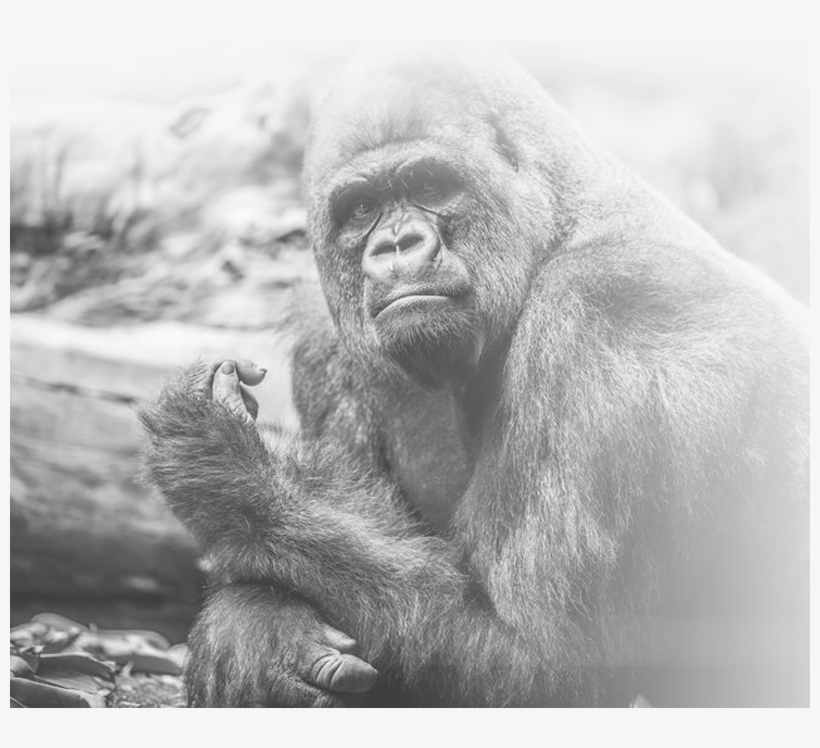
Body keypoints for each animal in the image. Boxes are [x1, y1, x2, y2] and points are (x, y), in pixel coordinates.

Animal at [139, 45, 809, 707]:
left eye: (429, 184)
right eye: (362, 209)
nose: (398, 244)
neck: (555, 222)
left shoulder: (602, 305)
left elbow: (547, 660)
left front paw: (231, 473)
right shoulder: (324, 333)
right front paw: (258, 628)